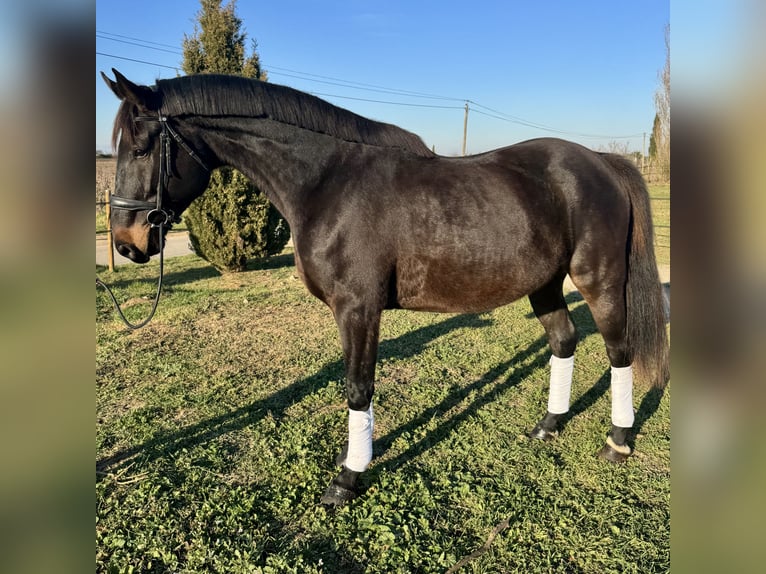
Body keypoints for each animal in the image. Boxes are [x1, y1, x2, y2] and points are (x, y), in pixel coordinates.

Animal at [103, 70, 672, 506]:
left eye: (141, 147)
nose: (127, 243)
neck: (327, 182)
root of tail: (602, 162)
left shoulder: (358, 309)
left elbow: (358, 388)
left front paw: (348, 479)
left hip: (600, 280)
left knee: (620, 352)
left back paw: (618, 442)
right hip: (546, 284)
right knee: (564, 342)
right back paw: (549, 426)